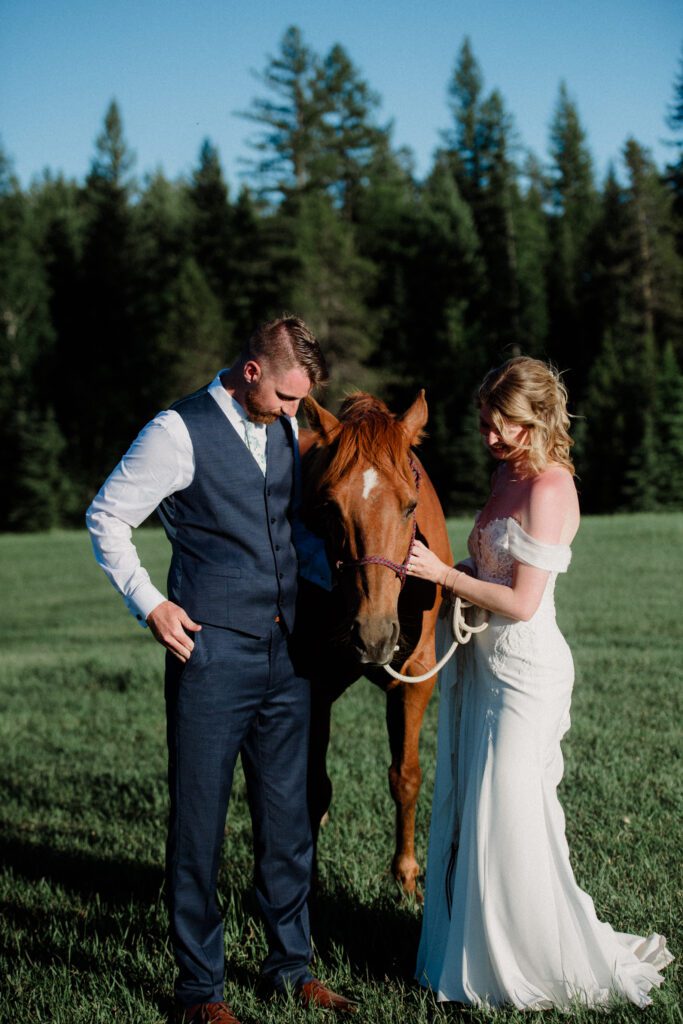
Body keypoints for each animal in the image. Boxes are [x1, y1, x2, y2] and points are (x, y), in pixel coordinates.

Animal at [290, 387, 450, 892]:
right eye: (329, 508)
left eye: (410, 506)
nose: (374, 635)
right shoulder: (315, 685)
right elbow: (314, 786)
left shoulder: (416, 678)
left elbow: (406, 776)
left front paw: (406, 875)